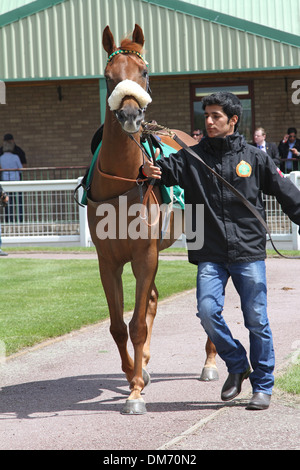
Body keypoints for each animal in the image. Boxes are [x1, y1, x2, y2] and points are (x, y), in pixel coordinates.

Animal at [88, 24, 217, 414]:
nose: (131, 116)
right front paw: (135, 374)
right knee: (153, 301)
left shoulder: (145, 254)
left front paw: (134, 393)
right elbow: (119, 325)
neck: (122, 182)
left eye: (143, 72)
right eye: (108, 76)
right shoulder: (109, 260)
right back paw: (143, 364)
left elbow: (137, 325)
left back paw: (209, 362)